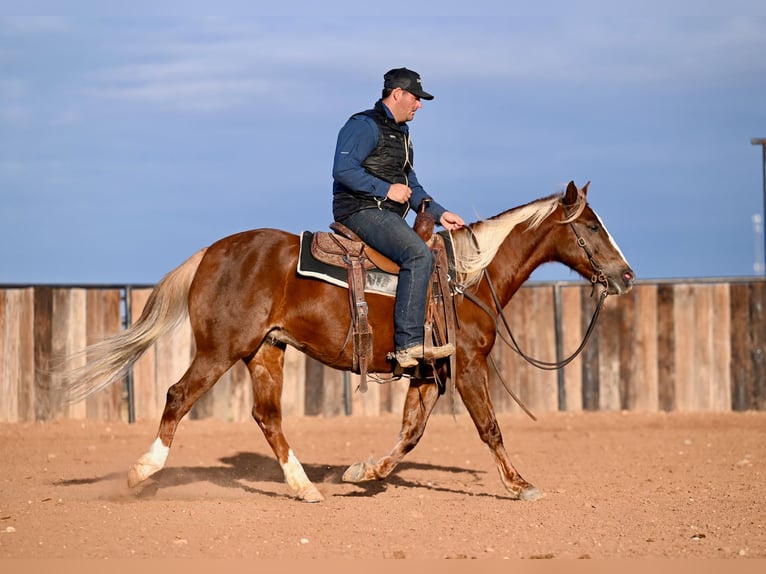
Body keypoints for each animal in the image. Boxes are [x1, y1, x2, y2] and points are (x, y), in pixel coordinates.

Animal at [58, 182, 636, 502]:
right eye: (590, 225)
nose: (627, 276)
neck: (467, 278)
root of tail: (211, 252)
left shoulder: (429, 372)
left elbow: (410, 434)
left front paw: (364, 471)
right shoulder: (469, 364)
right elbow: (489, 428)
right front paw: (520, 485)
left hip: (265, 351)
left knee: (267, 417)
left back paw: (305, 489)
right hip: (219, 350)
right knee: (179, 396)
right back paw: (141, 474)